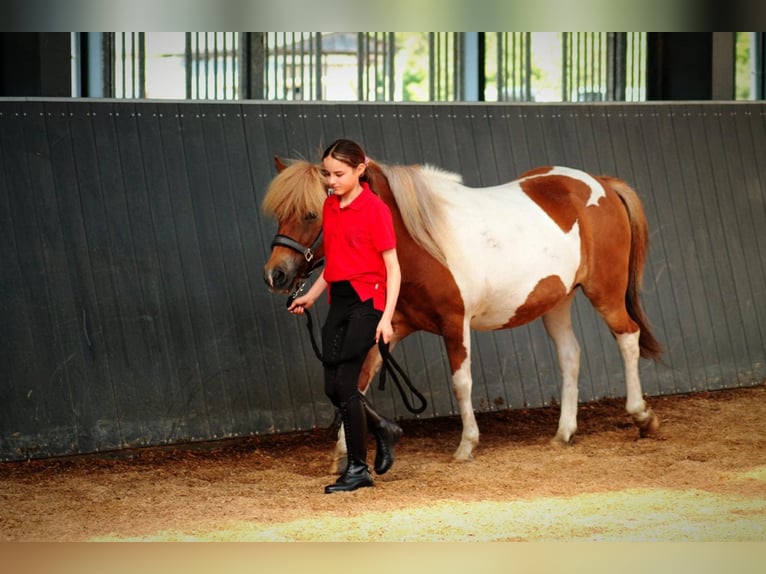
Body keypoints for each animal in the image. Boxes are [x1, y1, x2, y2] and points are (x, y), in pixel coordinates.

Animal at [262, 157, 662, 472]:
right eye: (280, 213)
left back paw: (641, 416)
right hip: (556, 302)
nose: (276, 275)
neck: (421, 242)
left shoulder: (456, 324)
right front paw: (343, 454)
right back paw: (564, 432)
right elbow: (356, 383)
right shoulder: (387, 327)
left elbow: (461, 382)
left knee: (628, 337)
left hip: (605, 292)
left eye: (312, 214)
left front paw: (467, 444)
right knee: (570, 356)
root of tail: (602, 184)